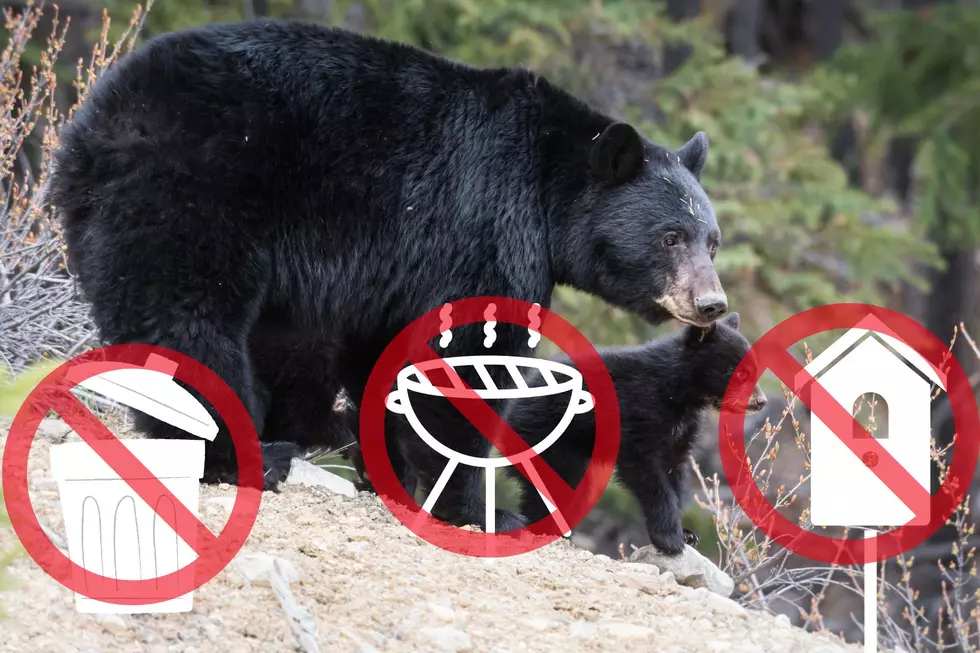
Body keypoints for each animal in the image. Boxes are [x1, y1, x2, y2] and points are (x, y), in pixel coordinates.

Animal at [48, 19, 728, 533]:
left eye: (712, 241)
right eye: (670, 236)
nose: (712, 302)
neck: (545, 187)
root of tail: (97, 121)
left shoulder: (395, 268)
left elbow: (386, 351)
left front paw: (391, 471)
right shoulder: (483, 225)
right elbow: (466, 358)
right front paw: (480, 509)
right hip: (195, 191)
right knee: (188, 317)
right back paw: (244, 455)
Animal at [502, 312, 766, 554]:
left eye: (753, 370)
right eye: (739, 372)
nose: (761, 402)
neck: (678, 394)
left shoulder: (683, 429)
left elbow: (674, 471)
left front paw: (687, 533)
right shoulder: (639, 412)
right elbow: (645, 470)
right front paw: (670, 538)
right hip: (546, 435)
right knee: (558, 481)